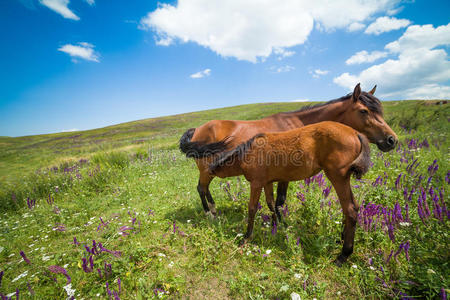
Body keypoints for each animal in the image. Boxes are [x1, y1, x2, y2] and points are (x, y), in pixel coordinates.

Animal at [179, 83, 398, 219]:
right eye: (364, 111)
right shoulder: (283, 175)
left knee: (205, 188)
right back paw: (210, 214)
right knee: (201, 188)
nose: (391, 140)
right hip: (206, 169)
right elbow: (279, 200)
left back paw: (214, 210)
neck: (301, 125)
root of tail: (197, 129)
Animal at [209, 120, 370, 266]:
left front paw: (246, 237)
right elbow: (271, 204)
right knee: (351, 207)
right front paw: (277, 226)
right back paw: (341, 239)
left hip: (337, 176)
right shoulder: (267, 182)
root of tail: (355, 132)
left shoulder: (256, 183)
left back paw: (344, 254)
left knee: (350, 209)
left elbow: (252, 209)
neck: (247, 153)